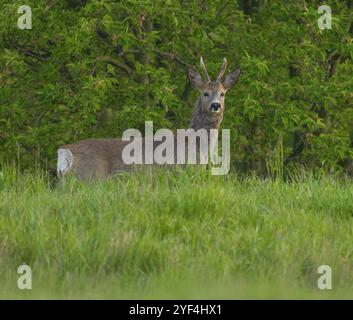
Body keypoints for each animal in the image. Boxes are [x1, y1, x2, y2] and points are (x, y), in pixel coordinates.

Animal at [57, 57, 239, 180]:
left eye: (222, 93)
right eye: (205, 93)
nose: (215, 105)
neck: (195, 147)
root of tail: (64, 153)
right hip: (91, 176)